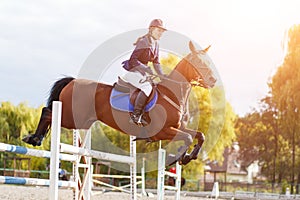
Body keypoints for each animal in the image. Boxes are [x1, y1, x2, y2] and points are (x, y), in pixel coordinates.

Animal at [22, 41, 216, 166]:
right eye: (198, 62)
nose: (213, 80)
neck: (173, 94)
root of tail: (73, 81)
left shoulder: (176, 128)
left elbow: (200, 135)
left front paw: (188, 157)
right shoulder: (162, 131)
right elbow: (189, 137)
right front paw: (178, 157)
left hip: (80, 120)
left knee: (48, 112)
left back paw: (35, 138)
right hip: (72, 118)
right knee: (47, 111)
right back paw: (34, 138)